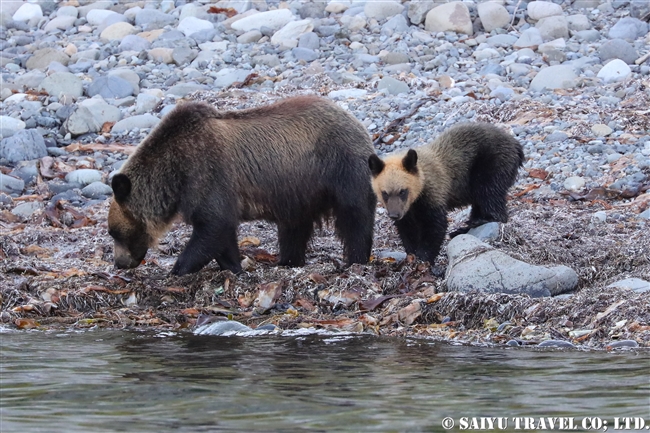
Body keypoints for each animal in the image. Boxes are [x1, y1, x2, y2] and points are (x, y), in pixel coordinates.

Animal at [109, 96, 374, 276]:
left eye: (115, 233)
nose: (119, 263)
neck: (174, 173)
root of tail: (355, 120)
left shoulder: (207, 173)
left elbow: (212, 226)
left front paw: (177, 270)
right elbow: (221, 232)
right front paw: (234, 267)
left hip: (340, 166)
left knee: (355, 216)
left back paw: (355, 260)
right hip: (298, 189)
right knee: (293, 228)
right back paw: (288, 261)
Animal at [368, 121, 524, 264]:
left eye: (402, 191)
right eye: (384, 193)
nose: (394, 215)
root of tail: (516, 146)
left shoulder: (433, 194)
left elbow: (436, 226)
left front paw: (423, 258)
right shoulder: (408, 210)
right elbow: (408, 230)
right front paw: (411, 255)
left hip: (492, 166)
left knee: (490, 194)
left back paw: (477, 222)